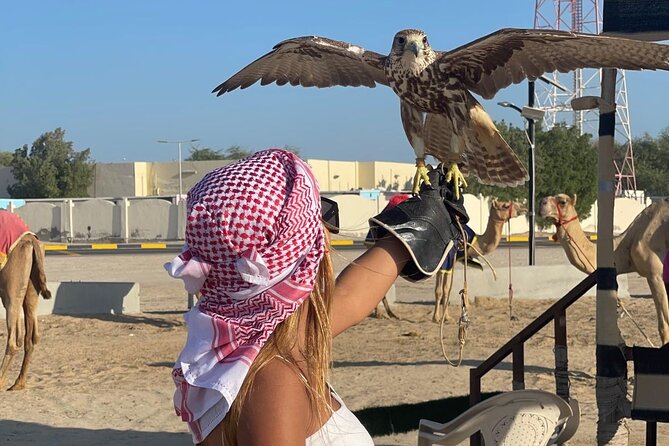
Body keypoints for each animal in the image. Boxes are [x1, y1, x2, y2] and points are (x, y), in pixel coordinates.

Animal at [0, 212, 51, 391]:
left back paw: (1, 382)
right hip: (30, 285)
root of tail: (31, 240)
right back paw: (18, 383)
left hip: (10, 288)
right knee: (31, 336)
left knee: (14, 341)